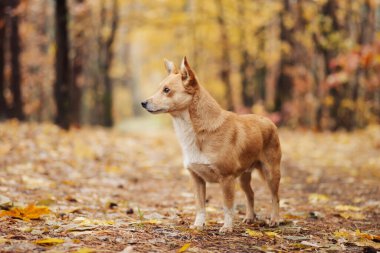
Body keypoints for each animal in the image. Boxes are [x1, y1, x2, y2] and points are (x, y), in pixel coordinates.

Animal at [141, 56, 280, 232]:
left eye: (167, 90)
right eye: (159, 88)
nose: (143, 103)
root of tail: (268, 121)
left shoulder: (227, 179)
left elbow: (228, 207)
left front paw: (227, 228)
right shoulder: (197, 179)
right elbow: (200, 206)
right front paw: (198, 225)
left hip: (271, 173)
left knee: (275, 197)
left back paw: (274, 219)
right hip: (243, 177)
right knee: (251, 194)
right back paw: (249, 217)